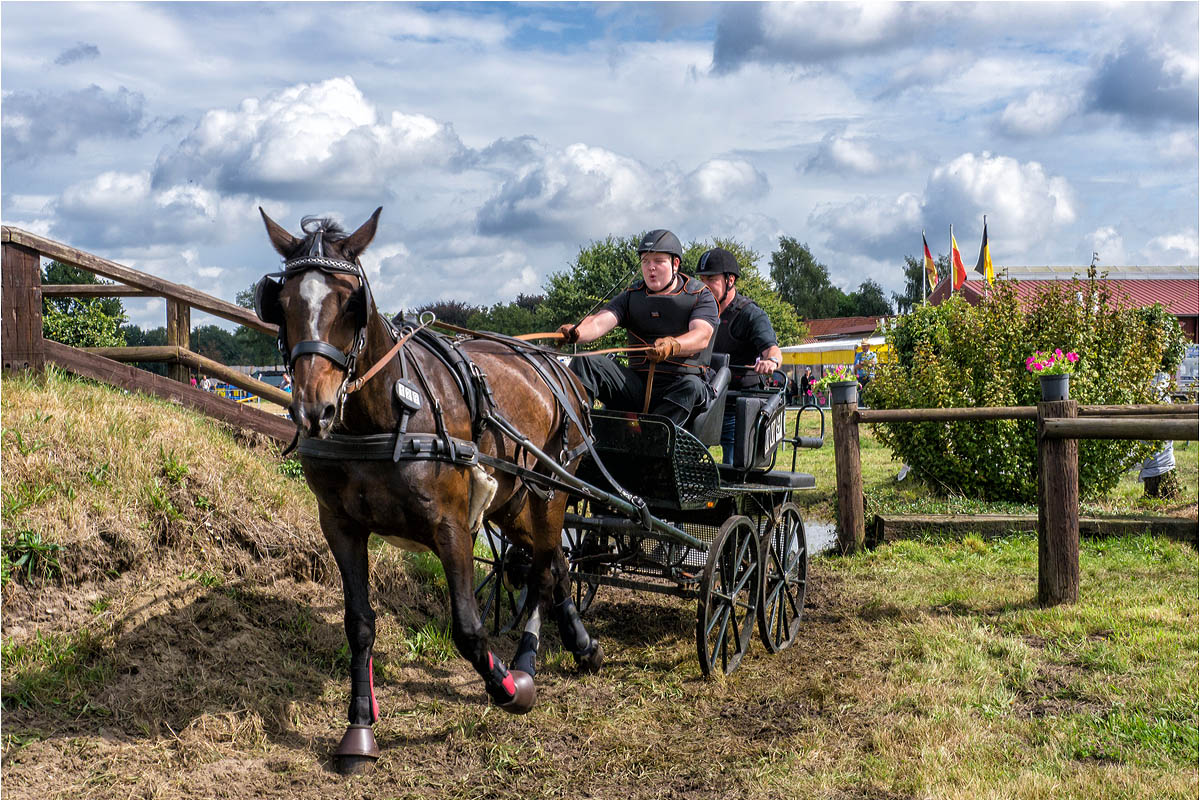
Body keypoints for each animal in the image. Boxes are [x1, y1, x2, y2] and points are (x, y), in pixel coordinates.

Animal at [256, 209, 604, 772]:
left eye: (352, 303)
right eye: (280, 302)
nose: (314, 410)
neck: (385, 415)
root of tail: (550, 360)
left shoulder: (451, 525)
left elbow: (466, 627)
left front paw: (508, 689)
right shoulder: (340, 526)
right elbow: (359, 624)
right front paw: (359, 729)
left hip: (549, 490)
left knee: (545, 565)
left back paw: (529, 663)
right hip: (511, 502)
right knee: (545, 562)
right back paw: (573, 645)